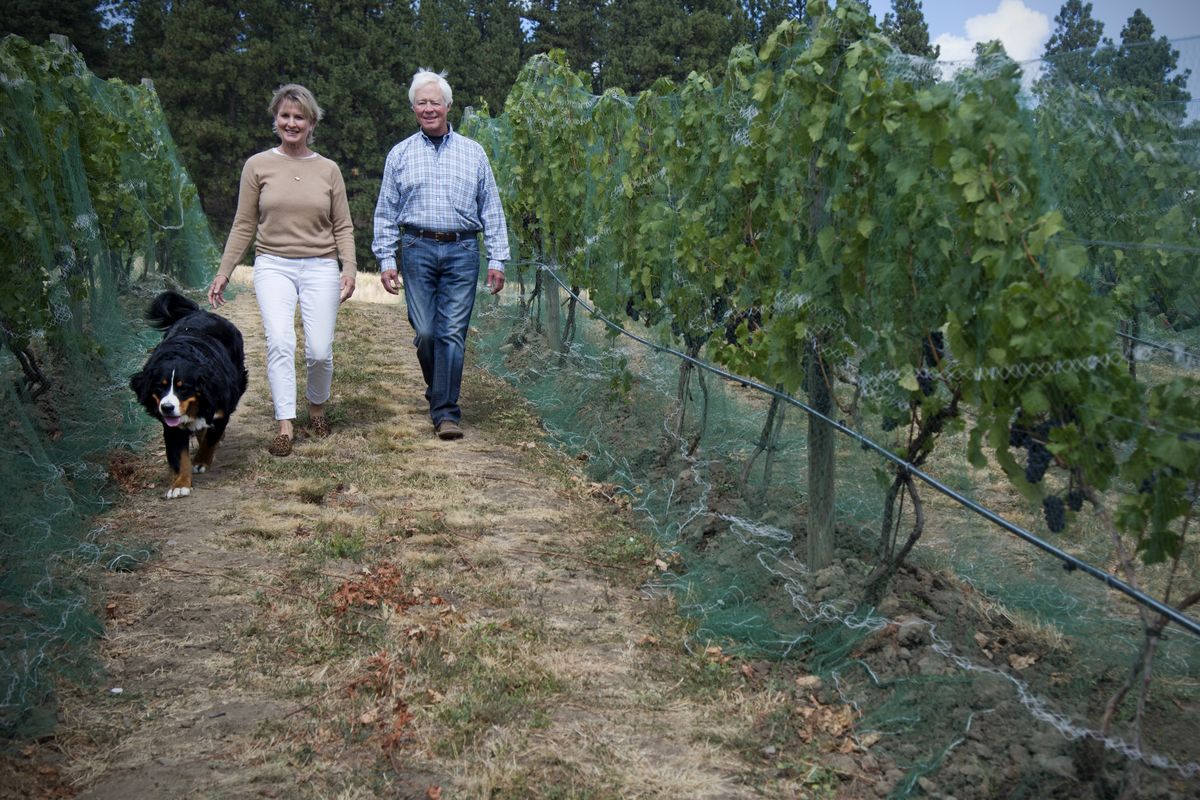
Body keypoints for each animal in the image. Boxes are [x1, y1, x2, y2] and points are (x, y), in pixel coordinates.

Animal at [130, 287, 247, 501]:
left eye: (183, 387)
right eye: (160, 387)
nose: (167, 407)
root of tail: (200, 312)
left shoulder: (220, 412)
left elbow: (210, 440)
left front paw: (200, 461)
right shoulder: (172, 426)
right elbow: (179, 456)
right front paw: (180, 484)